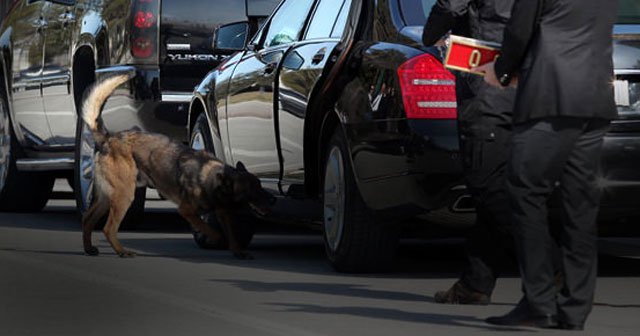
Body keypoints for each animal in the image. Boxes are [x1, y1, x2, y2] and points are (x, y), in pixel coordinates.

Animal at [80, 72, 272, 258]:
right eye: (252, 190)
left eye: (260, 185)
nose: (274, 199)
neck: (209, 175)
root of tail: (108, 139)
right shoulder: (187, 211)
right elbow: (209, 228)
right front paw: (218, 238)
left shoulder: (224, 212)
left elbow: (232, 234)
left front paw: (238, 251)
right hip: (124, 195)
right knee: (108, 228)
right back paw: (122, 251)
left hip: (107, 197)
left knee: (87, 219)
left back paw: (89, 248)